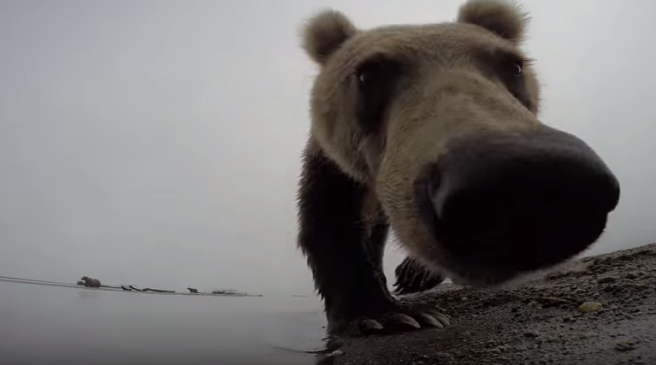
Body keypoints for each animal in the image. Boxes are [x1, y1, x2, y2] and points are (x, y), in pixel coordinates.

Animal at [296, 0, 620, 336]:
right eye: (367, 75)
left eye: (514, 66)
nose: (523, 180)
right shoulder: (335, 166)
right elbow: (332, 221)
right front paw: (387, 315)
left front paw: (414, 278)